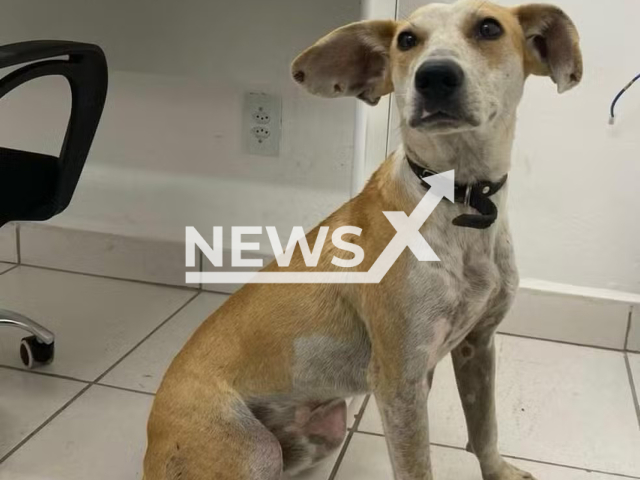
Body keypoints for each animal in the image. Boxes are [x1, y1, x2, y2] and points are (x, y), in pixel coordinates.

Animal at [142, 1, 584, 478]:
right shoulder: (398, 382)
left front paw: (499, 472)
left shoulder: (477, 346)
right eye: (406, 40)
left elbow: (485, 428)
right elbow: (417, 466)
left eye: (489, 28)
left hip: (321, 432)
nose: (435, 76)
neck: (455, 198)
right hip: (252, 450)